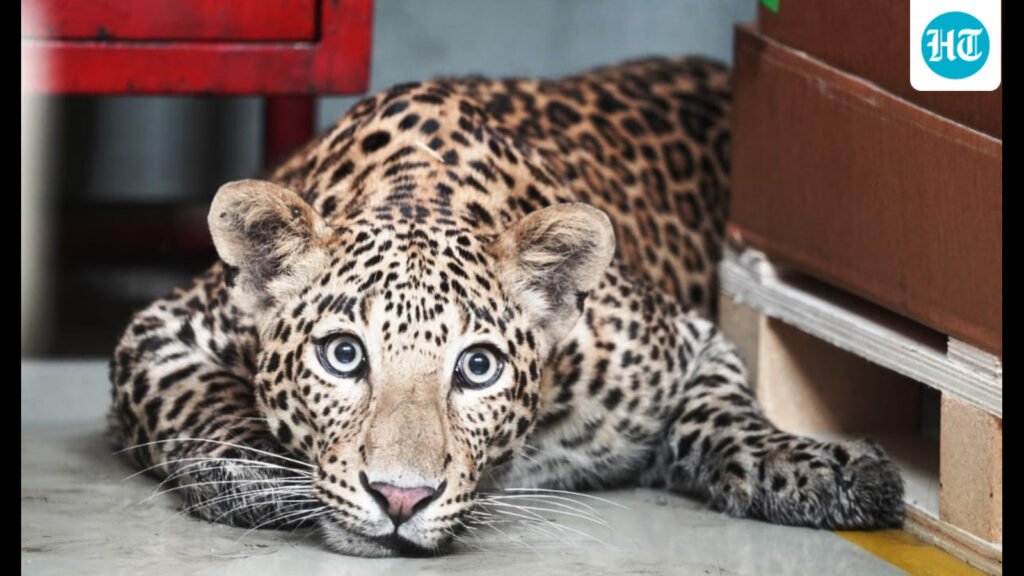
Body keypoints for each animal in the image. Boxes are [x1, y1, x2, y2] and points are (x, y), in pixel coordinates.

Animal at [108, 56, 904, 557]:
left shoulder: (689, 344)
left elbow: (729, 416)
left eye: (478, 368)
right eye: (343, 355)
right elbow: (201, 405)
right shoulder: (159, 336)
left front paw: (825, 471)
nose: (400, 498)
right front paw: (266, 476)